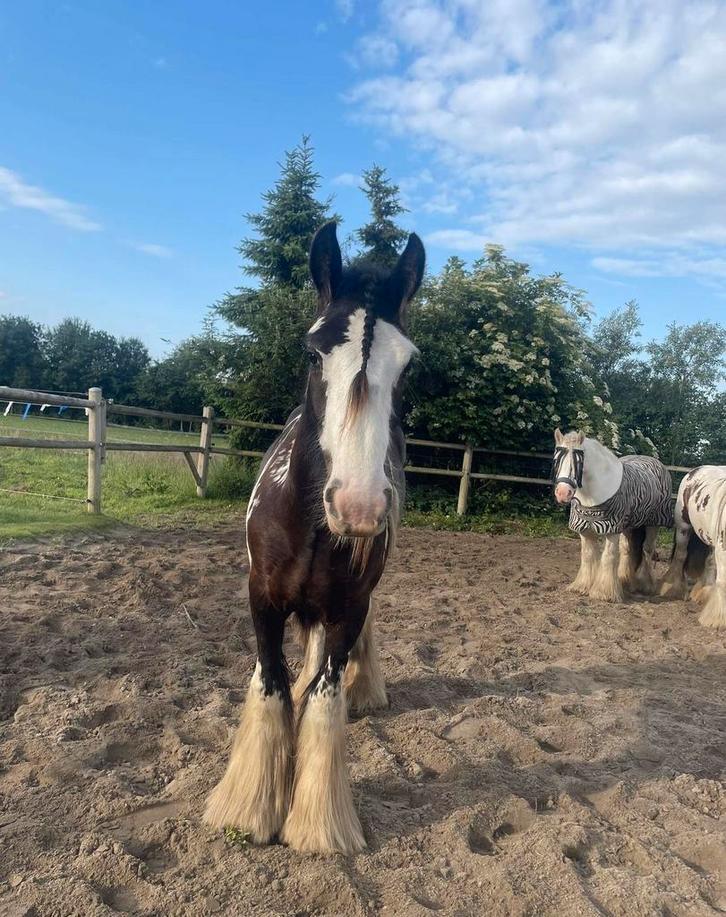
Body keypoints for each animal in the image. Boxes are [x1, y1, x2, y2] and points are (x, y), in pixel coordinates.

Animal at [203, 221, 425, 855]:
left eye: (408, 365)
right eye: (313, 349)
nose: (358, 505)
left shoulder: (351, 606)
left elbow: (326, 698)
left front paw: (317, 825)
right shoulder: (261, 599)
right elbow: (272, 683)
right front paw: (249, 809)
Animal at [552, 429, 673, 602]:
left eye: (579, 461)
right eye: (556, 459)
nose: (562, 493)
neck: (592, 495)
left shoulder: (612, 530)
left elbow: (608, 557)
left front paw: (604, 593)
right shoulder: (585, 530)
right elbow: (587, 555)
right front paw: (582, 586)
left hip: (652, 524)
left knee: (647, 550)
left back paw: (645, 585)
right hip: (629, 526)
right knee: (627, 549)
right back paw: (624, 580)